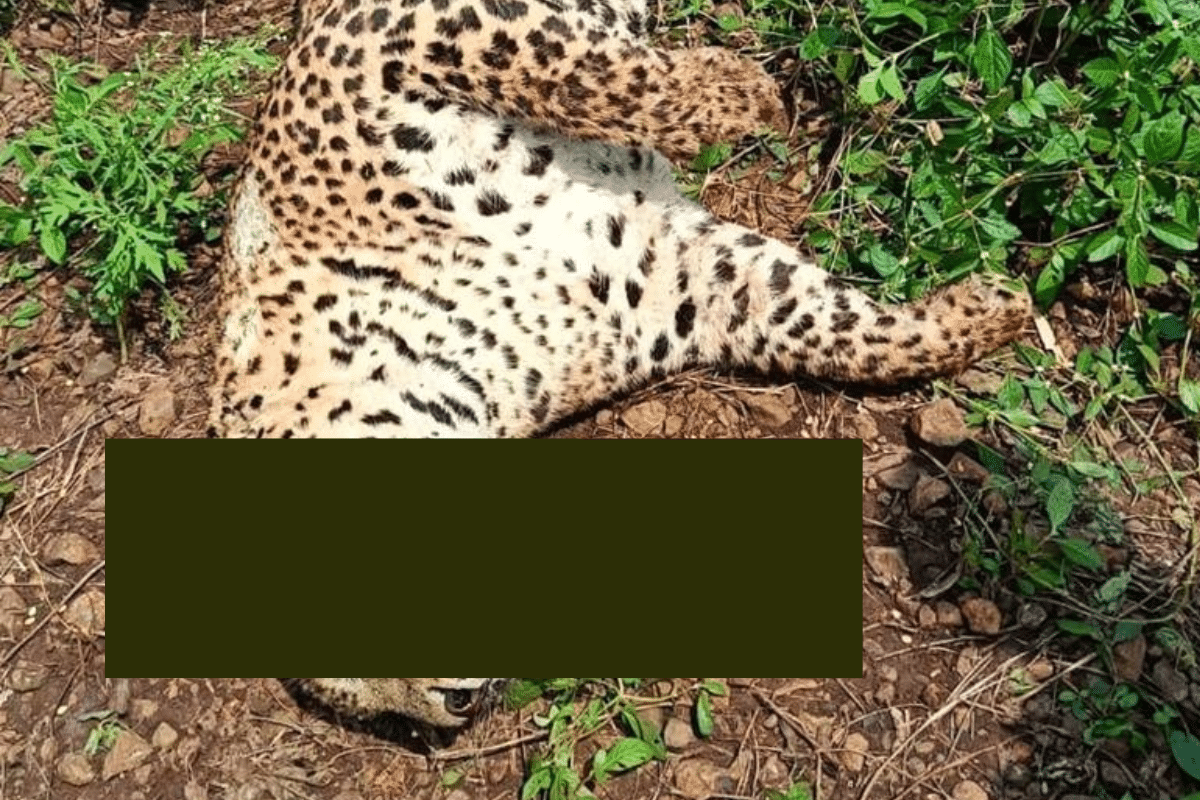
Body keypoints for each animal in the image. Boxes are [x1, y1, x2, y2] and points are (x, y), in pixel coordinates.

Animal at [209, 0, 1033, 438]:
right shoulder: (685, 280)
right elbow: (836, 328)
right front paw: (990, 311)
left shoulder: (393, 39)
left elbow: (585, 73)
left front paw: (743, 94)